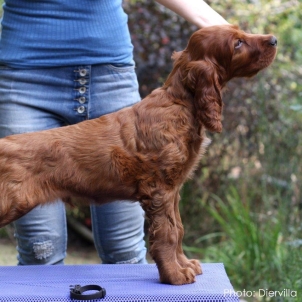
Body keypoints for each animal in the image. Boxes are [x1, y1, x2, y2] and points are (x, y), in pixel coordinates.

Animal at [0, 25, 276, 284]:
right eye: (237, 43)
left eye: (241, 32)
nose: (273, 39)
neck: (180, 103)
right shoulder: (159, 190)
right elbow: (167, 234)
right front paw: (175, 275)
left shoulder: (173, 190)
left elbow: (178, 228)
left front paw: (185, 264)